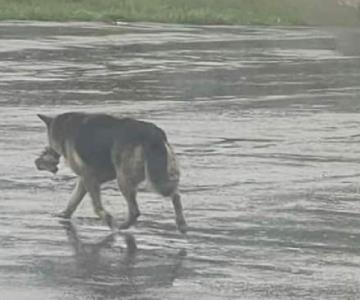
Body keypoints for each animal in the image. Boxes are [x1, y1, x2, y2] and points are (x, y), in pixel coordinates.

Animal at [37, 111, 187, 233]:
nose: (41, 159)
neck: (63, 127)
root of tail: (153, 134)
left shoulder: (89, 177)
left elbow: (96, 206)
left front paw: (108, 219)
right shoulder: (88, 179)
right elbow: (73, 200)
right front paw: (64, 215)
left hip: (125, 180)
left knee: (135, 210)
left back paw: (121, 227)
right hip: (159, 175)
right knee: (175, 194)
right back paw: (181, 224)